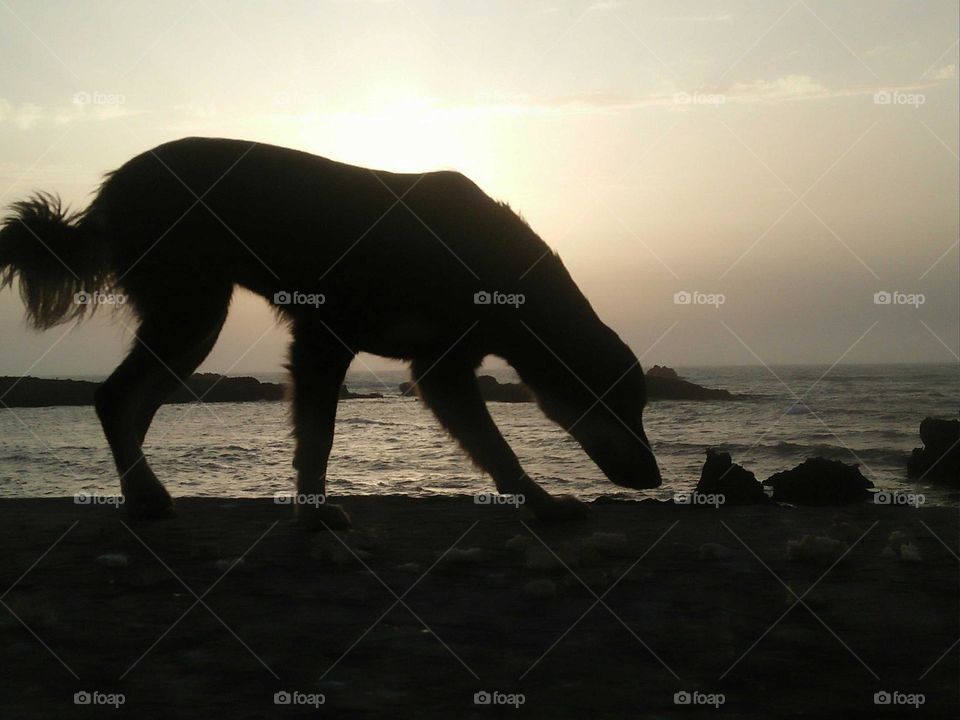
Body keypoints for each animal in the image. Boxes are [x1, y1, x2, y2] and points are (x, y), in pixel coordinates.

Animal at [0, 138, 660, 524]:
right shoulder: (327, 339)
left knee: (132, 403)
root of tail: (110, 189)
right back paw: (141, 492)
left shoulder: (440, 368)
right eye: (620, 405)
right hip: (191, 312)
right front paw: (314, 513)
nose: (655, 479)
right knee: (114, 397)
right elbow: (319, 437)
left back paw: (142, 490)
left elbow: (491, 444)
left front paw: (536, 499)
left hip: (189, 324)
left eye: (640, 407)